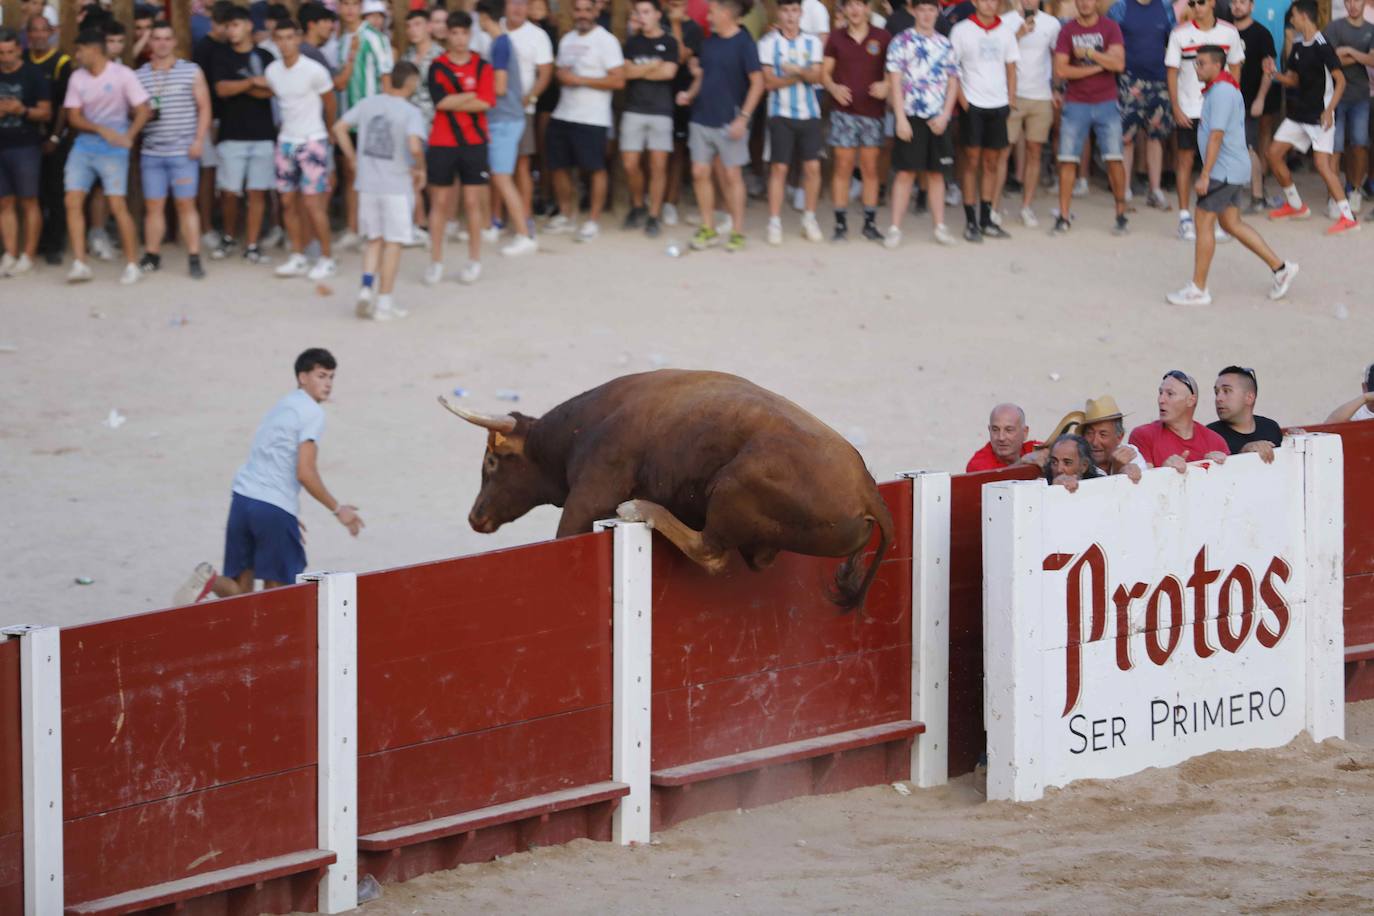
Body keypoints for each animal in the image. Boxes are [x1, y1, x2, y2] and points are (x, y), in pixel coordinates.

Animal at [434, 368, 895, 612]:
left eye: (492, 462)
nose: (476, 517)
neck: (574, 432)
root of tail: (868, 493)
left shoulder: (589, 492)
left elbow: (566, 534)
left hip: (732, 486)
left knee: (711, 552)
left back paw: (641, 509)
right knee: (757, 557)